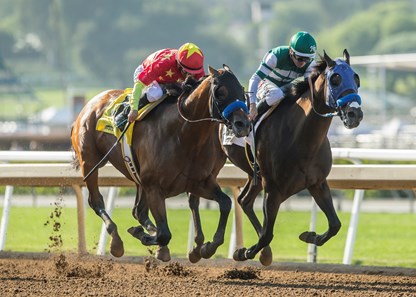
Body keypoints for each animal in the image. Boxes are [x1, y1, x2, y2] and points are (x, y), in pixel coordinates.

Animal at [71, 64, 250, 260]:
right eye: (220, 92)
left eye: (241, 90)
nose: (243, 124)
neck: (183, 134)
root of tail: (90, 104)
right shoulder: (154, 187)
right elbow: (164, 234)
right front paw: (144, 235)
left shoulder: (198, 182)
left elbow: (225, 203)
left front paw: (207, 247)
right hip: (90, 162)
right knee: (96, 201)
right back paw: (117, 241)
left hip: (138, 177)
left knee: (139, 211)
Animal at [223, 49, 362, 264]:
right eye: (335, 79)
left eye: (356, 78)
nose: (355, 113)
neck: (301, 139)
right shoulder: (273, 189)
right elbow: (267, 234)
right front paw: (245, 252)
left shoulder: (317, 183)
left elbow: (335, 224)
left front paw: (310, 236)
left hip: (255, 176)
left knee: (244, 201)